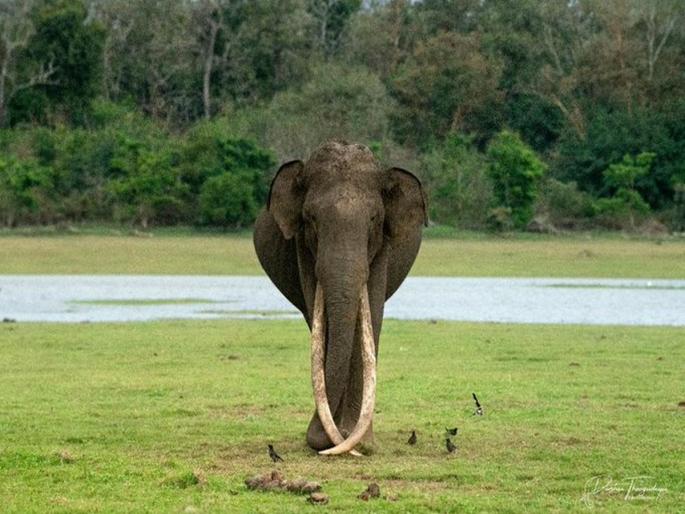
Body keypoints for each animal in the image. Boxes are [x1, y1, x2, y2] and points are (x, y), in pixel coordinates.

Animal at [253, 140, 426, 455]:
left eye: (374, 219)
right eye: (310, 218)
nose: (321, 440)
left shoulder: (382, 247)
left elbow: (372, 315)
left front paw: (363, 443)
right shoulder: (302, 247)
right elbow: (321, 319)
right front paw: (337, 437)